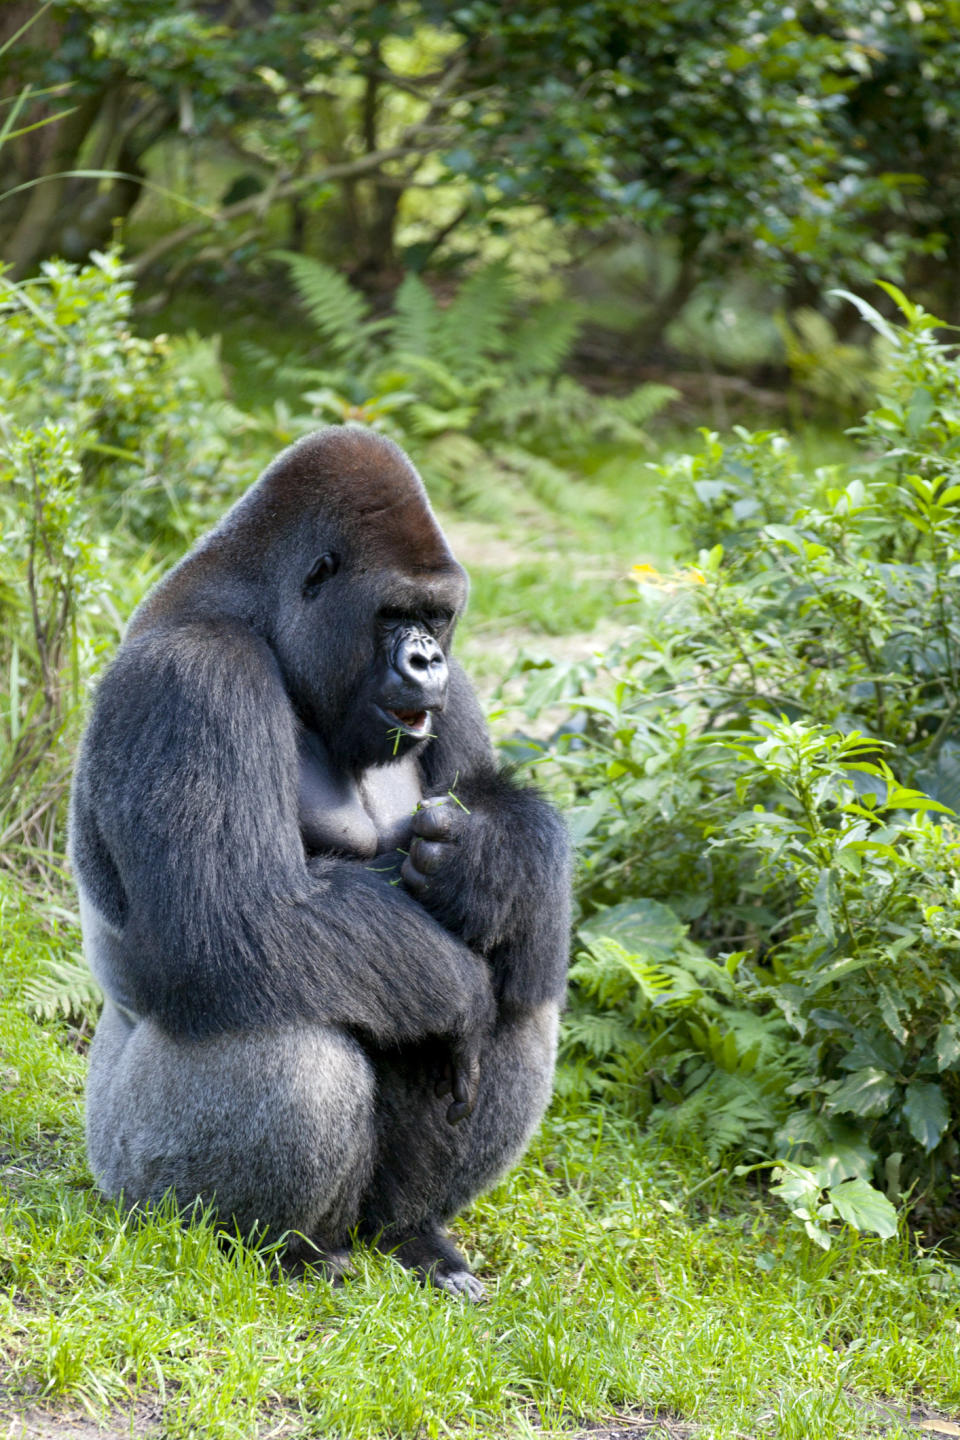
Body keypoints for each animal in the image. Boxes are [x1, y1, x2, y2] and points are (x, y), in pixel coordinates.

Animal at [73, 420, 578, 1301]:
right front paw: (461, 997)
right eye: (393, 613)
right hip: (132, 1176)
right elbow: (241, 921)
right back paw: (284, 1249)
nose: (426, 660)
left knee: (525, 984)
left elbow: (491, 817)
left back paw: (413, 1233)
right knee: (292, 1020)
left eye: (437, 617)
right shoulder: (193, 679)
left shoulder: (456, 689)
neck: (261, 615)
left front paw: (492, 865)